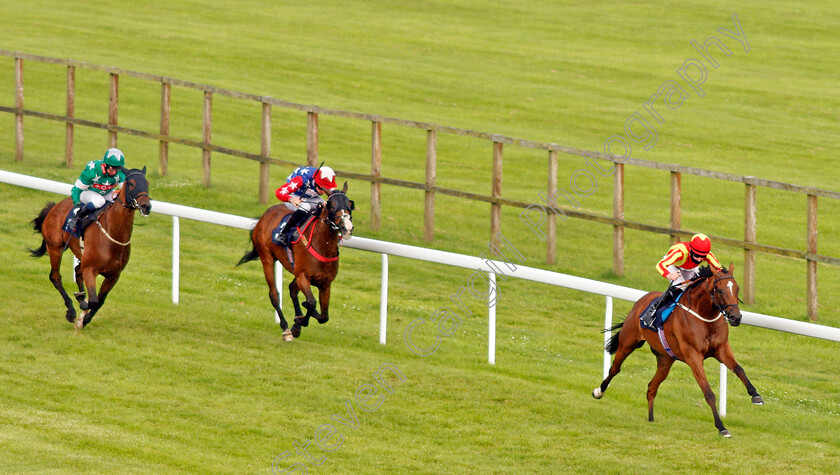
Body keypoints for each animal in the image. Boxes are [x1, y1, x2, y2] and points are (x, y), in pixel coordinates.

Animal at [29, 168, 153, 330]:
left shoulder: (114, 275)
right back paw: (71, 310)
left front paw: (84, 318)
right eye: (131, 183)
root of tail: (55, 206)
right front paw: (81, 313)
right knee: (55, 277)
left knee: (77, 271)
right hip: (55, 248)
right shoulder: (90, 269)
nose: (146, 206)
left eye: (147, 183)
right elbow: (93, 300)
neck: (113, 235)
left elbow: (99, 301)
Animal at [236, 182, 354, 342]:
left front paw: (299, 322)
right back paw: (285, 327)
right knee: (274, 295)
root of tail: (265, 215)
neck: (322, 245)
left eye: (350, 204)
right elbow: (311, 303)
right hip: (267, 258)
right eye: (331, 205)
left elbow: (323, 316)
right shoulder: (303, 276)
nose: (347, 227)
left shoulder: (325, 283)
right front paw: (299, 321)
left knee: (292, 289)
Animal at [592, 266, 764, 436]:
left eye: (737, 289)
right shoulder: (693, 356)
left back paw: (651, 419)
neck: (704, 316)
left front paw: (756, 396)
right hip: (628, 342)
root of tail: (642, 300)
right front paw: (721, 427)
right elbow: (708, 392)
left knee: (651, 387)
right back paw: (599, 391)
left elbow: (739, 369)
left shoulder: (721, 349)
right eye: (720, 291)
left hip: (665, 359)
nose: (736, 317)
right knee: (615, 369)